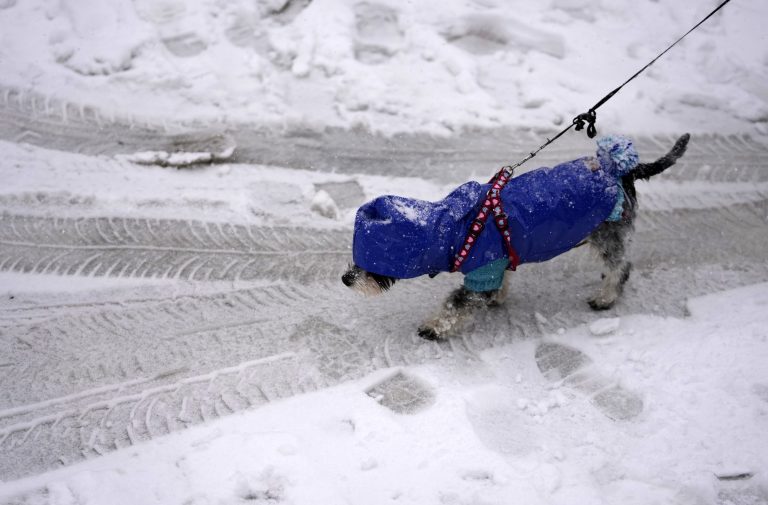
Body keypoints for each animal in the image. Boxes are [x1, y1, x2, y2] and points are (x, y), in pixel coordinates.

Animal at [342, 133, 688, 338]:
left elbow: (457, 303)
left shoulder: (481, 270)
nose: (345, 279)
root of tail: (620, 171)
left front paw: (435, 326)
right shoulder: (496, 262)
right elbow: (500, 280)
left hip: (608, 234)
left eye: (370, 266)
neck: (454, 228)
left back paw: (606, 297)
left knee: (621, 266)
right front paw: (498, 296)